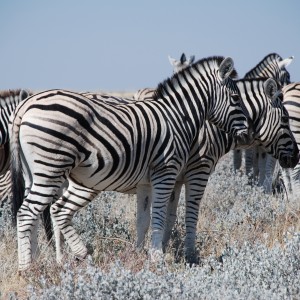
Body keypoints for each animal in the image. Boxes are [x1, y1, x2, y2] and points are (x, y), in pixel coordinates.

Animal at [9, 55, 253, 270]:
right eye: (235, 98)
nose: (247, 134)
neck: (177, 117)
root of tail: (26, 104)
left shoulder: (146, 182)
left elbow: (143, 220)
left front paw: (140, 255)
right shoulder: (166, 172)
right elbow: (159, 216)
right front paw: (157, 258)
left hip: (34, 173)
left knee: (35, 213)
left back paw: (37, 261)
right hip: (52, 167)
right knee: (29, 212)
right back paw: (29, 268)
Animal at [135, 77, 300, 262]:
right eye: (285, 119)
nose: (296, 156)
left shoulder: (175, 178)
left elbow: (169, 217)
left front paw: (164, 249)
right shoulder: (198, 171)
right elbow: (190, 215)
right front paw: (189, 255)